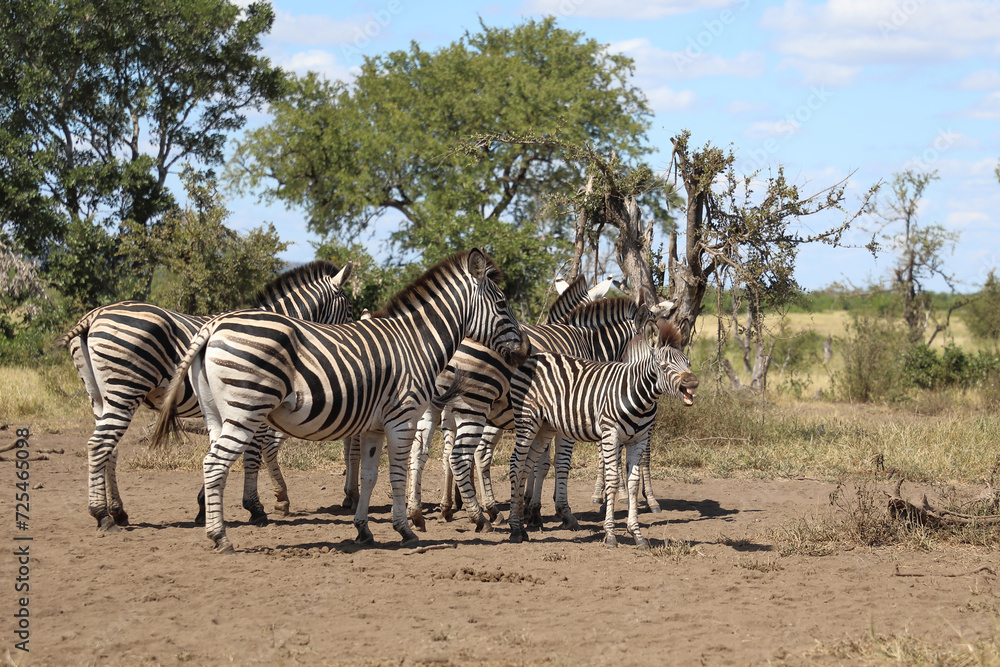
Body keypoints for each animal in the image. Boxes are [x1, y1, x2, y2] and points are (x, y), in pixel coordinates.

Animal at [59, 260, 354, 531]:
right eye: (350, 309)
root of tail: (94, 316)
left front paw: (204, 506)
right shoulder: (252, 403)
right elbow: (252, 453)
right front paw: (256, 507)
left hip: (99, 397)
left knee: (109, 448)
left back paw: (118, 512)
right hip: (125, 389)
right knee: (99, 444)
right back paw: (101, 514)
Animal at [149, 249, 524, 552]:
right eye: (502, 305)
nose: (522, 353)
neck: (417, 342)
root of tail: (213, 325)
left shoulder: (374, 426)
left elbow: (370, 476)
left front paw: (363, 529)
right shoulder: (402, 419)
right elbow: (397, 474)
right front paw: (407, 529)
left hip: (217, 414)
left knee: (216, 465)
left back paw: (215, 523)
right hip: (247, 409)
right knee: (215, 464)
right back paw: (220, 536)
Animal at [507, 309, 698, 548]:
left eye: (688, 362)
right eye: (664, 366)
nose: (693, 383)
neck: (638, 393)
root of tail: (534, 356)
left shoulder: (639, 439)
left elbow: (633, 482)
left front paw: (636, 534)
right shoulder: (610, 434)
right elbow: (613, 480)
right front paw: (611, 535)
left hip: (545, 426)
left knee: (525, 465)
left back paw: (522, 525)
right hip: (527, 420)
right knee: (516, 463)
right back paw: (515, 528)